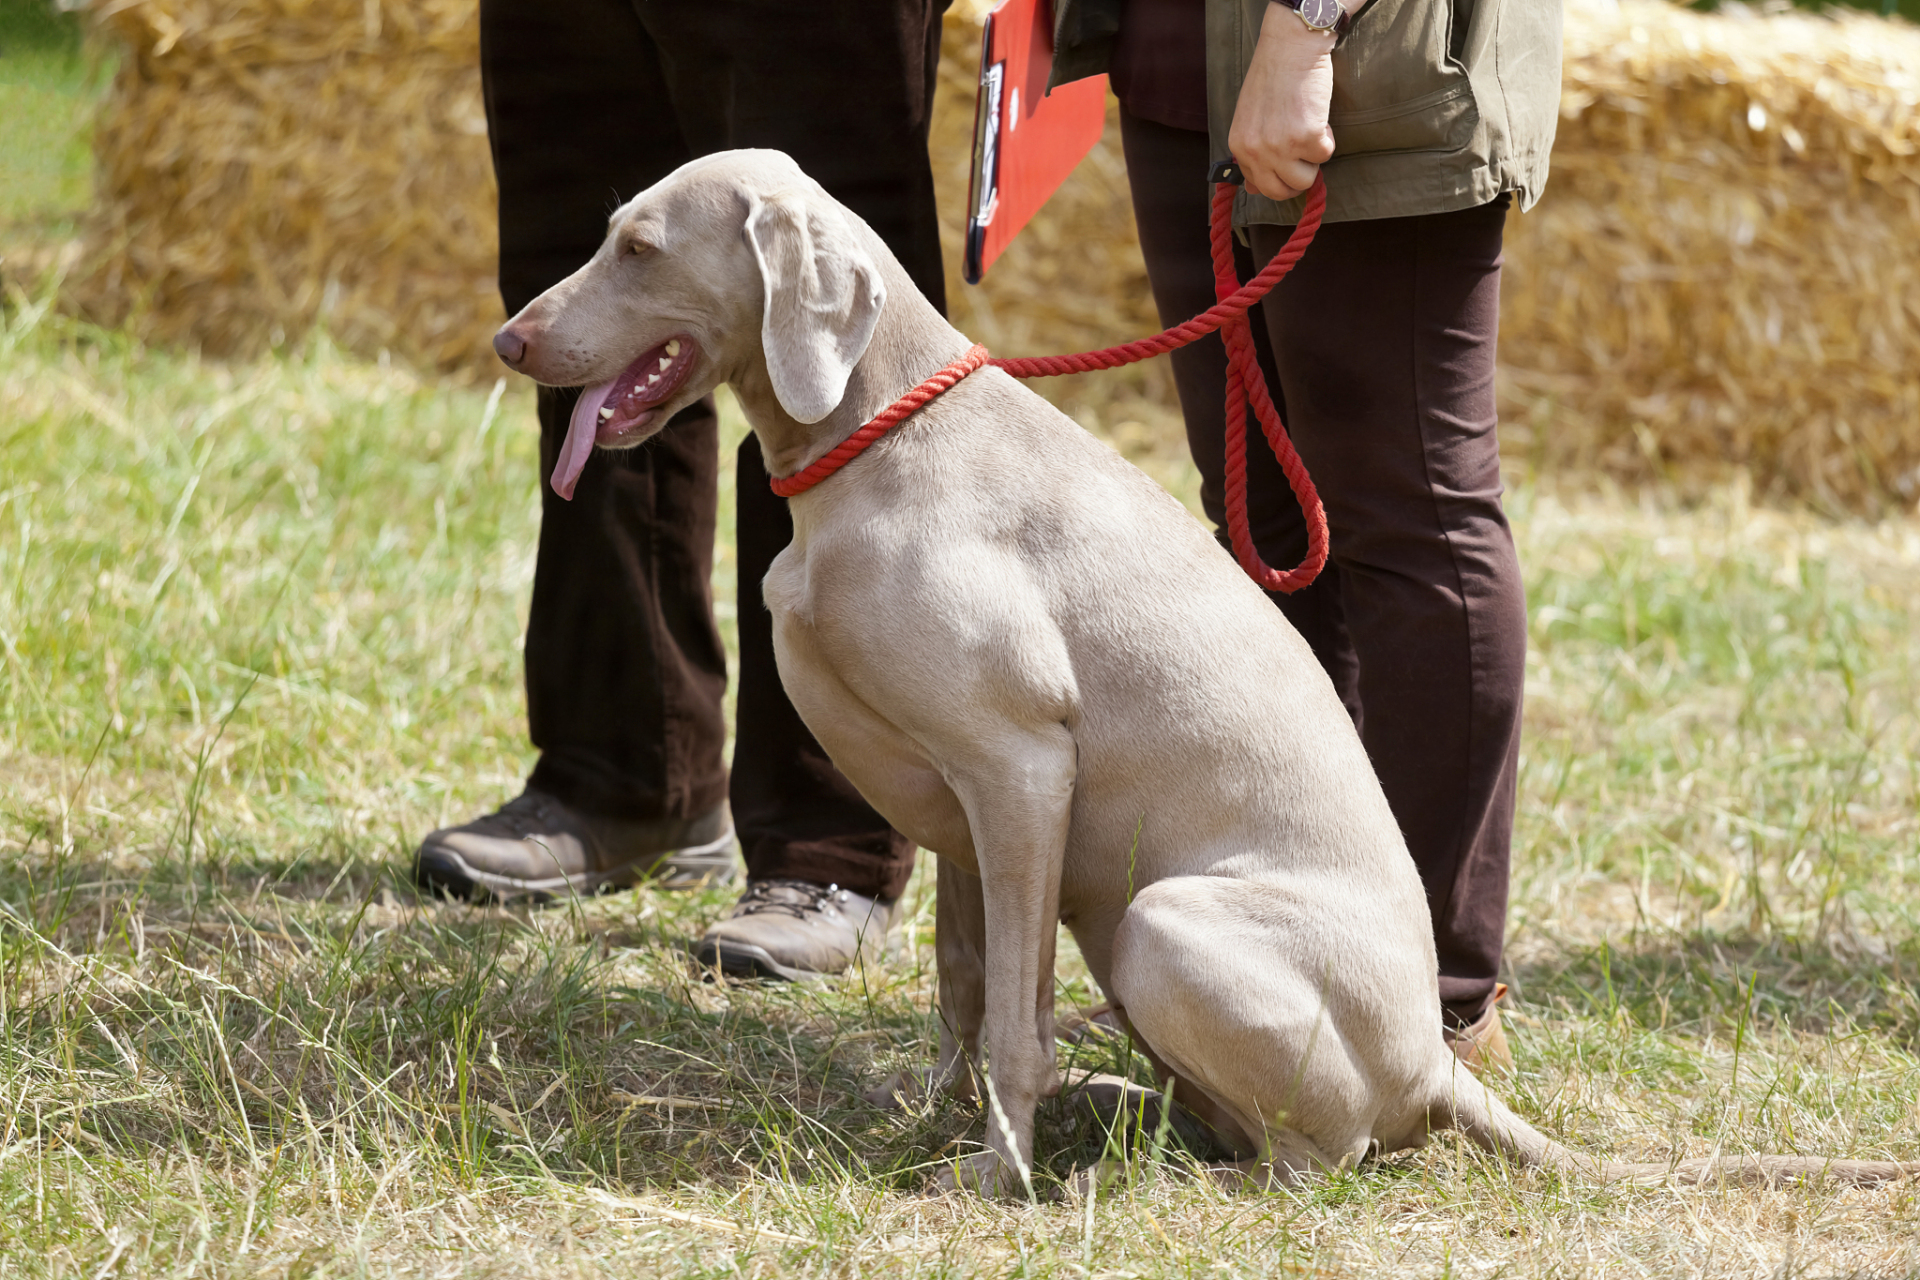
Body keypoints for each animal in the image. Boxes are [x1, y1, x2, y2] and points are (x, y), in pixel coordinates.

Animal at [491, 152, 1904, 1205]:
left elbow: (1011, 1015)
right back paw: (1117, 1102)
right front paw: (933, 1129)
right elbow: (964, 986)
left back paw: (1146, 1165)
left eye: (639, 247)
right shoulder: (961, 810)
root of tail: (1434, 1063)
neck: (882, 436)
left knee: (1316, 1158)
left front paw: (994, 1176)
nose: (508, 339)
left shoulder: (1021, 766)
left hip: (1163, 923)